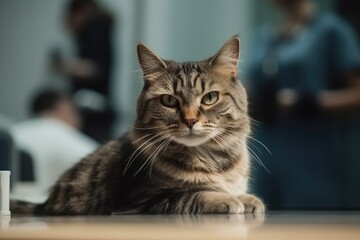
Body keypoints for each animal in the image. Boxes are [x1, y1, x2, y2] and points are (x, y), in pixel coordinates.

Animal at [11, 36, 264, 216]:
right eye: (169, 100)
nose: (190, 120)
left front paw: (249, 199)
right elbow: (194, 194)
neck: (213, 159)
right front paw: (227, 199)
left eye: (210, 98)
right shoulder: (141, 200)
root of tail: (44, 204)